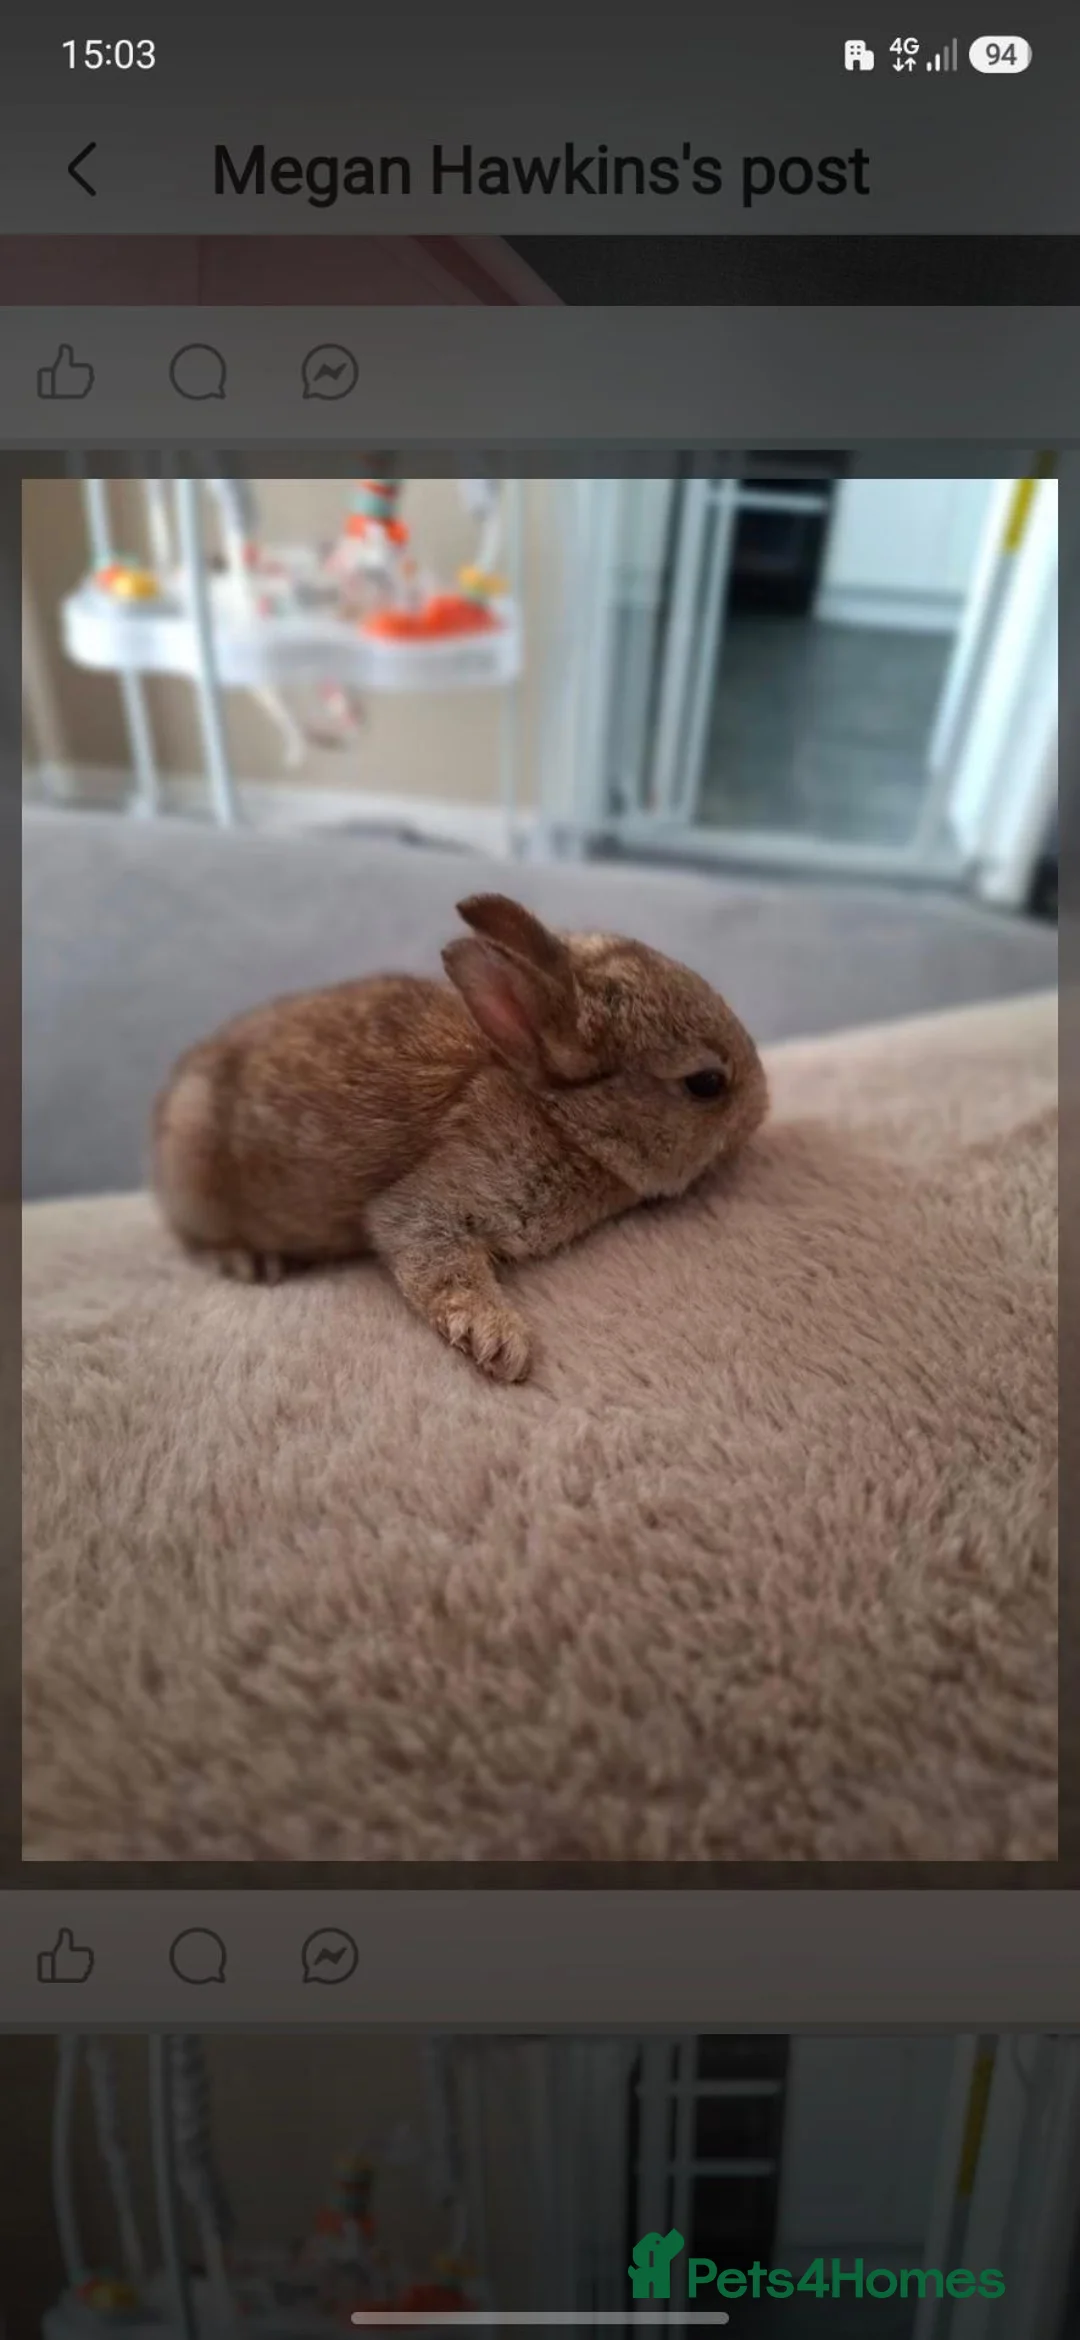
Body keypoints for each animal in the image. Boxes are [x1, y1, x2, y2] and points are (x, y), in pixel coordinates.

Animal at [152, 893, 769, 1382]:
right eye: (707, 1084)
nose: (763, 1107)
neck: (561, 1118)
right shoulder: (439, 1201)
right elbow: (431, 1254)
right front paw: (501, 1342)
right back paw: (247, 1262)